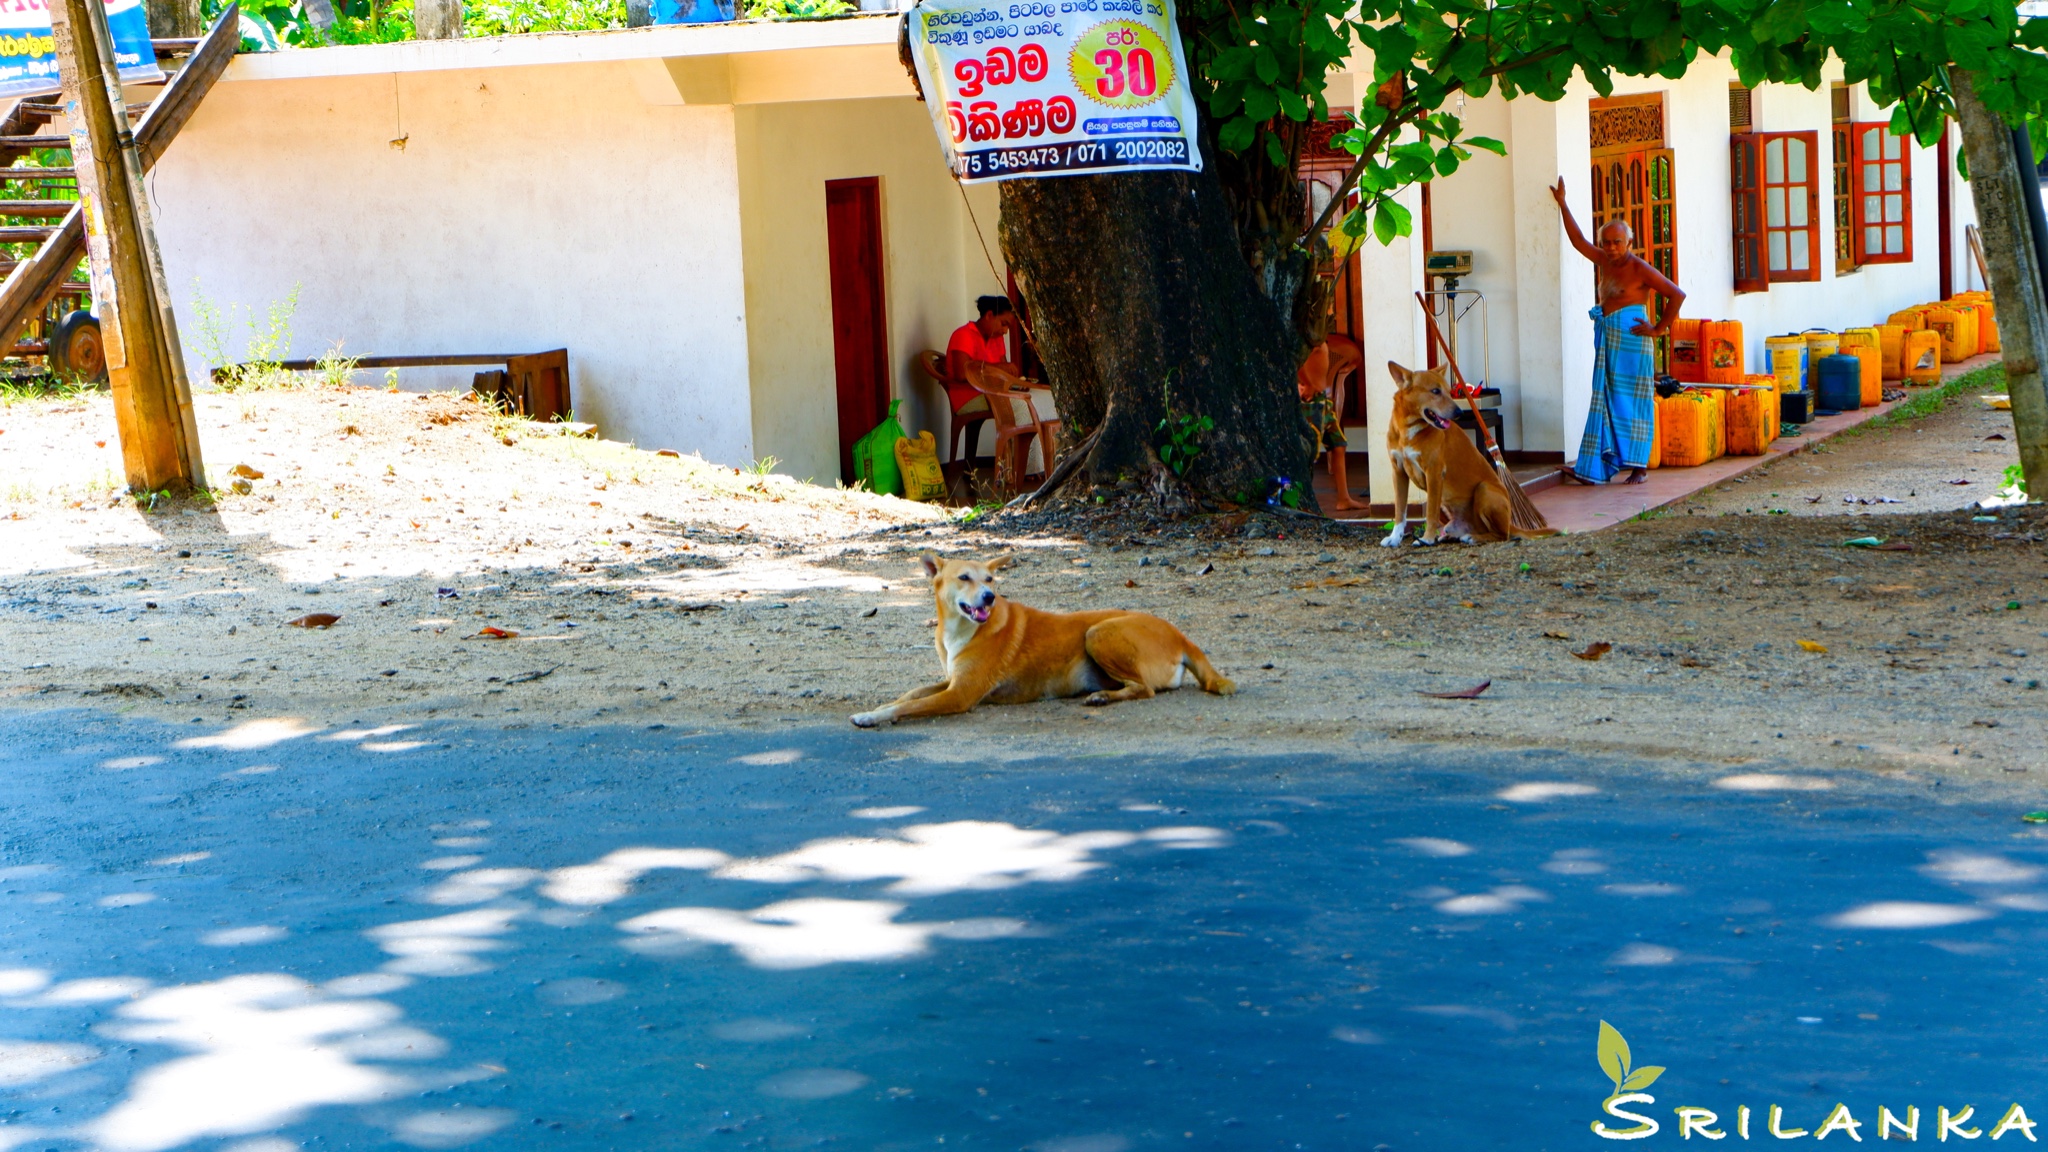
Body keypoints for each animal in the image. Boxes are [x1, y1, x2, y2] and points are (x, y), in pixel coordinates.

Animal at [847, 549, 1228, 725]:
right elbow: (910, 694)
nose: (990, 598)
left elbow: (910, 705)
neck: (961, 629)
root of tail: (1181, 636)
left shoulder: (960, 694)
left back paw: (1103, 697)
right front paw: (878, 707)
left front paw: (872, 717)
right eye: (964, 578)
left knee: (1144, 689)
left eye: (990, 579)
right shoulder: (952, 681)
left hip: (1098, 631)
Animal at [1384, 360, 1556, 545]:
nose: (1459, 413)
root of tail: (1510, 523)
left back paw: (1473, 537)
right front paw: (1395, 537)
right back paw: (1450, 536)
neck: (1407, 429)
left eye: (1449, 391)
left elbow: (1430, 512)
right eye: (1435, 391)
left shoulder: (1434, 472)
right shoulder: (1398, 472)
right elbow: (1400, 510)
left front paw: (1427, 539)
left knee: (1502, 535)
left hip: (1484, 489)